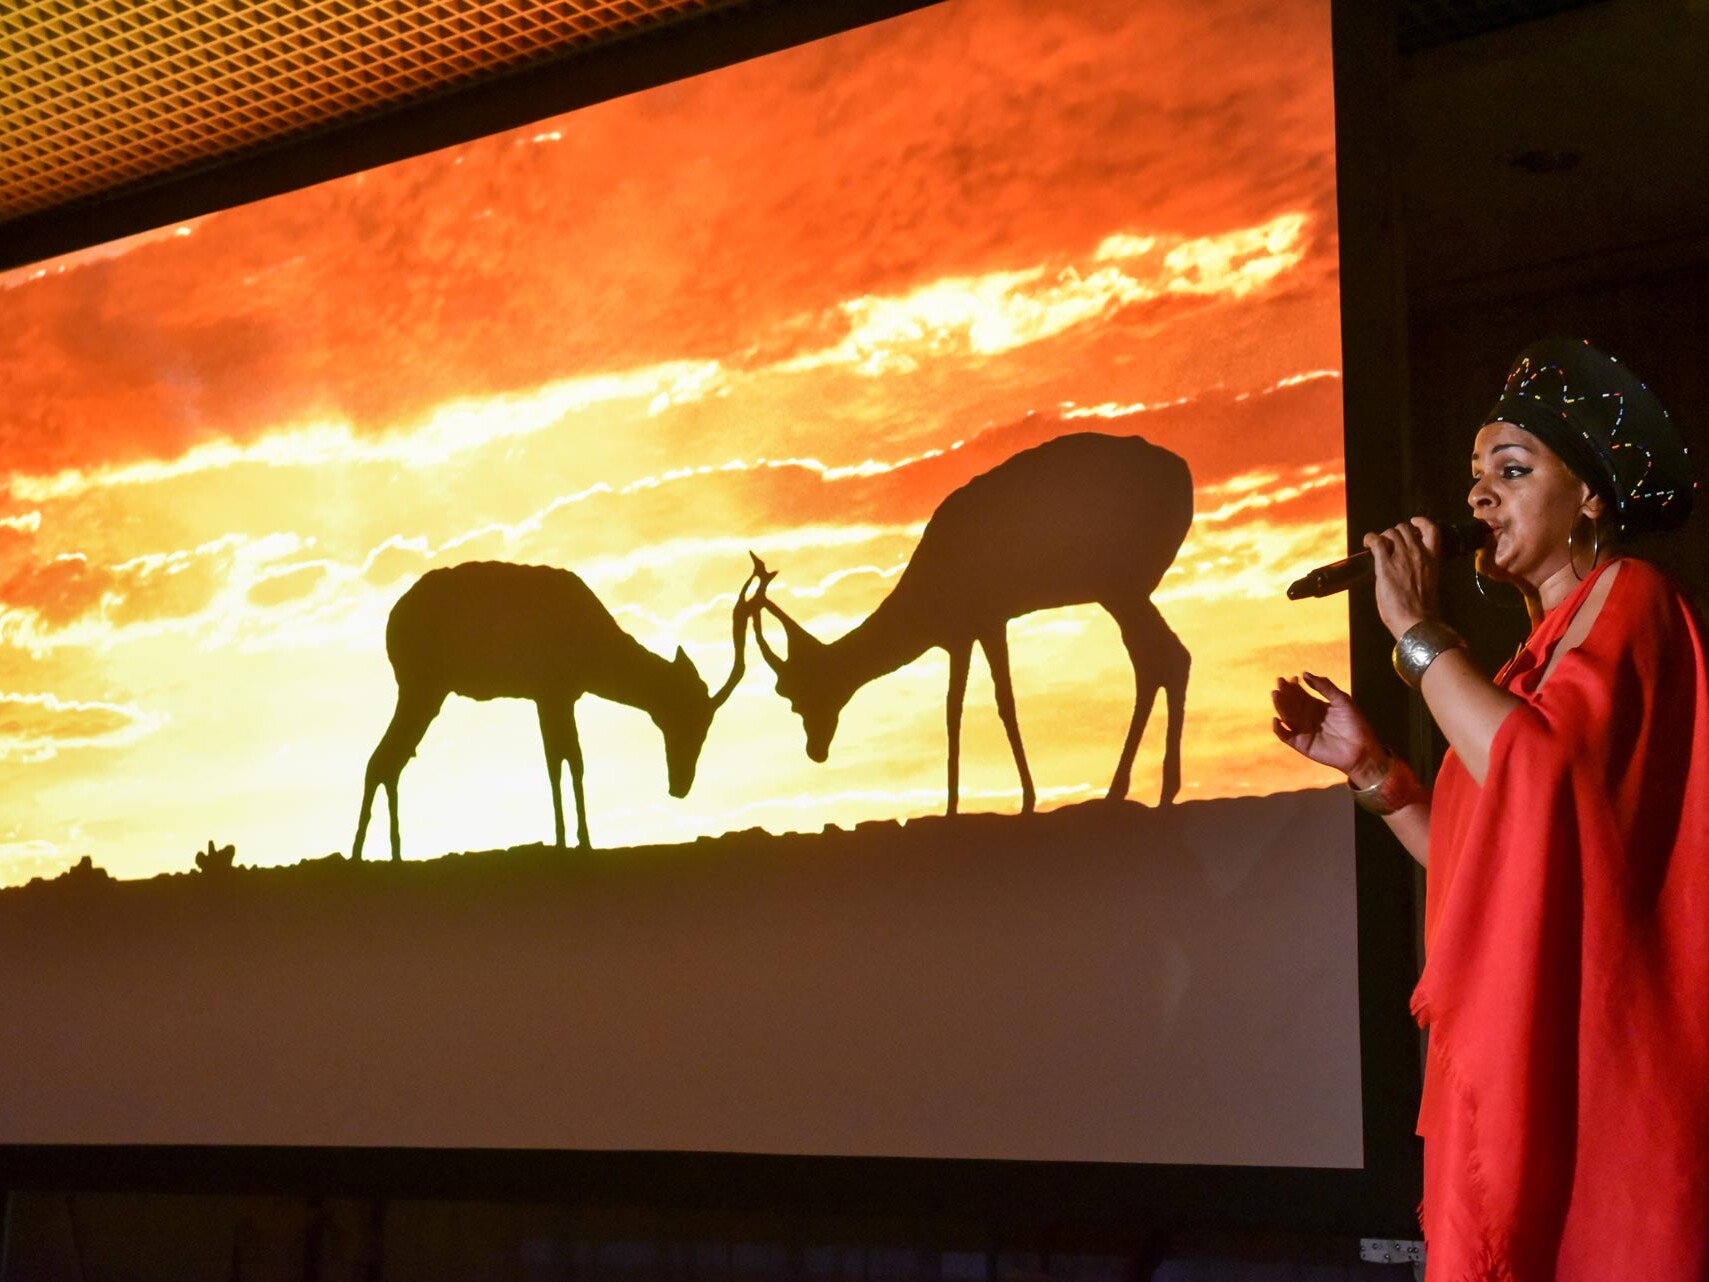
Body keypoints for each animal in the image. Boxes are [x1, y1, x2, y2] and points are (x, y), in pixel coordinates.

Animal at [346, 560, 762, 864]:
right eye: (689, 719)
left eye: (706, 725)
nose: (680, 786)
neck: (595, 647)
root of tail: (392, 620)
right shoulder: (552, 694)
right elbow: (564, 762)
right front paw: (574, 841)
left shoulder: (557, 697)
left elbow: (565, 761)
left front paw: (575, 840)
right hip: (422, 688)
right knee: (381, 760)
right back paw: (361, 854)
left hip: (425, 693)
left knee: (389, 761)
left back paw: (390, 853)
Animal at [755, 432, 1196, 813]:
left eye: (797, 695)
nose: (816, 751)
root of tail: (1182, 471)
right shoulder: (964, 635)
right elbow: (957, 709)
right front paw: (958, 804)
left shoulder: (987, 622)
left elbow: (1000, 703)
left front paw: (1018, 800)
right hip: (1124, 594)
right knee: (1159, 660)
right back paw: (1143, 791)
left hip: (1121, 590)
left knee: (1165, 658)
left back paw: (1139, 791)